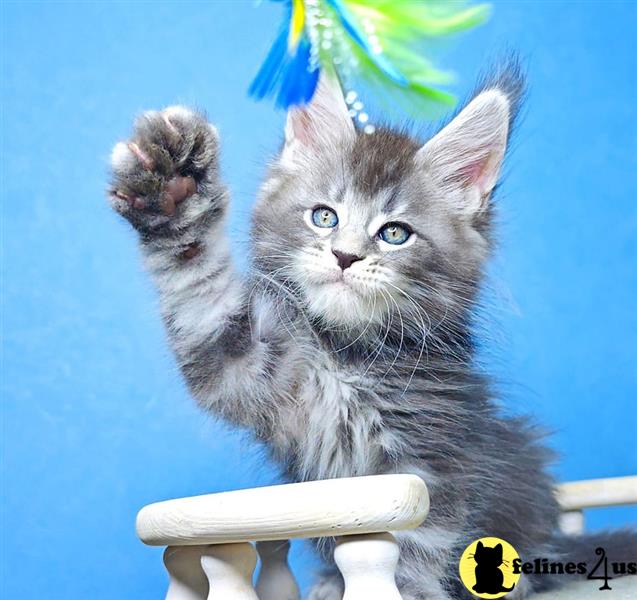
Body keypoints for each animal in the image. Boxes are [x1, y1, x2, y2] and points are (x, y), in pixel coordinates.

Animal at [107, 63, 632, 596]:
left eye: (394, 233)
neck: (348, 354)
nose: (345, 255)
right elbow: (197, 280)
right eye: (324, 217)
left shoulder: (429, 466)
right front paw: (173, 187)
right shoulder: (239, 361)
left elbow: (412, 553)